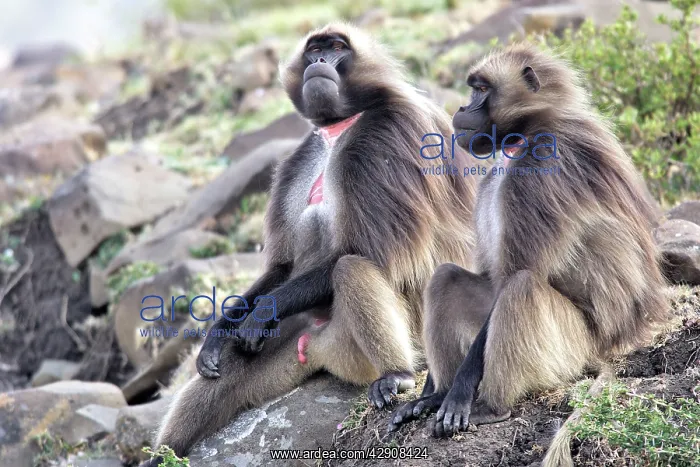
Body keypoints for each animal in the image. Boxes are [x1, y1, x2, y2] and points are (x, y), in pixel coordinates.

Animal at [140, 23, 479, 465]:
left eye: (336, 48)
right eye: (314, 50)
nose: (318, 61)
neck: (338, 130)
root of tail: (317, 348)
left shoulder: (386, 138)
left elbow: (371, 253)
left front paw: (256, 315)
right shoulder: (300, 158)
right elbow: (281, 267)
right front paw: (219, 333)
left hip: (390, 339)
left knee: (351, 267)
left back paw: (397, 375)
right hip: (305, 349)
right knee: (226, 373)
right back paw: (164, 453)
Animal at [388, 44, 669, 454]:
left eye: (480, 89)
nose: (461, 107)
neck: (530, 130)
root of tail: (608, 347)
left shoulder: (541, 172)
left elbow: (514, 276)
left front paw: (459, 396)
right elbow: (487, 274)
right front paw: (434, 393)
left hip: (572, 347)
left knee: (521, 287)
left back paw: (489, 407)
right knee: (446, 277)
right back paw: (435, 395)